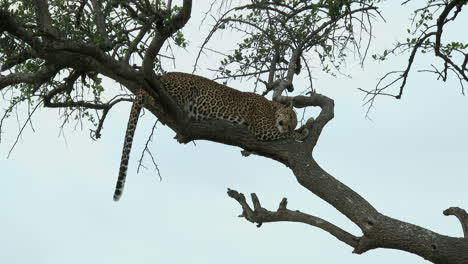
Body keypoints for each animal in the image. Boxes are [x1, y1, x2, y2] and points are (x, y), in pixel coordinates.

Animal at [114, 71, 308, 201]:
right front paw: (302, 131)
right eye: (291, 118)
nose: (290, 124)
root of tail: (161, 76)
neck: (272, 108)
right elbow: (287, 134)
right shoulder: (263, 128)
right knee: (154, 99)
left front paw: (302, 129)